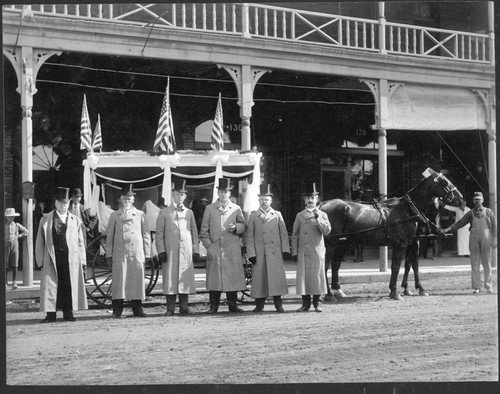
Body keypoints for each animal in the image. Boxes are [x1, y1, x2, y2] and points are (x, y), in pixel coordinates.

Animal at [322, 167, 462, 302]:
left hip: (343, 243)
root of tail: (323, 205)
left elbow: (412, 265)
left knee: (335, 264)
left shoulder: (413, 242)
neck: (408, 209)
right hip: (330, 243)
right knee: (325, 266)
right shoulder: (401, 243)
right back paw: (329, 294)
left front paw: (417, 288)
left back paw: (338, 291)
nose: (460, 198)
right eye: (444, 181)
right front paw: (395, 292)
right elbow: (396, 267)